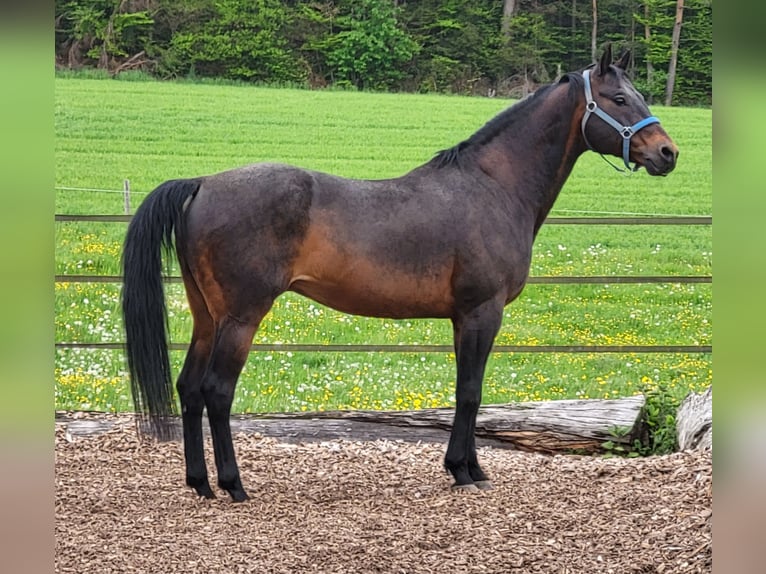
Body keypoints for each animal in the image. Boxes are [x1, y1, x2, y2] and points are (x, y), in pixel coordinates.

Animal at [121, 46, 678, 502]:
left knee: (189, 388)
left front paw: (471, 467)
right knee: (217, 391)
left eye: (637, 95)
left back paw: (199, 483)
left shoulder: (461, 318)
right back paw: (233, 485)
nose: (668, 153)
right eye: (618, 98)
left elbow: (468, 390)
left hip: (207, 316)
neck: (493, 187)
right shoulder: (482, 312)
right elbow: (471, 391)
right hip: (241, 318)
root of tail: (203, 183)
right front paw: (463, 472)